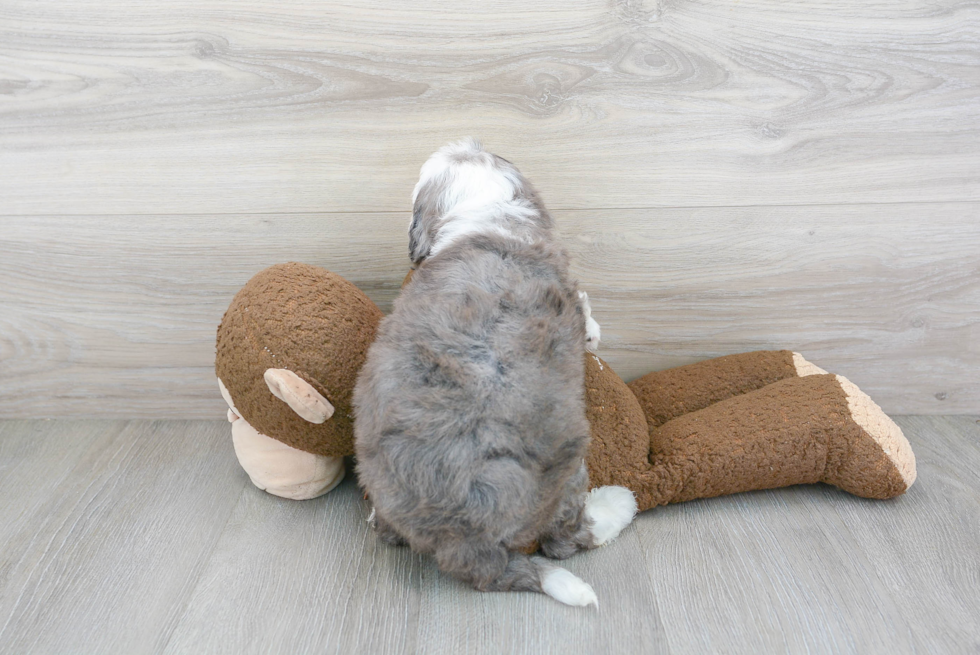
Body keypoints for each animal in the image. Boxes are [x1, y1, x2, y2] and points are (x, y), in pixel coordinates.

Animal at [352, 140, 636, 608]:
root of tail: (462, 541)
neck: (484, 213)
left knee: (384, 529)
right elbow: (583, 305)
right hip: (567, 468)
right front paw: (593, 332)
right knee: (566, 539)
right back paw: (617, 506)